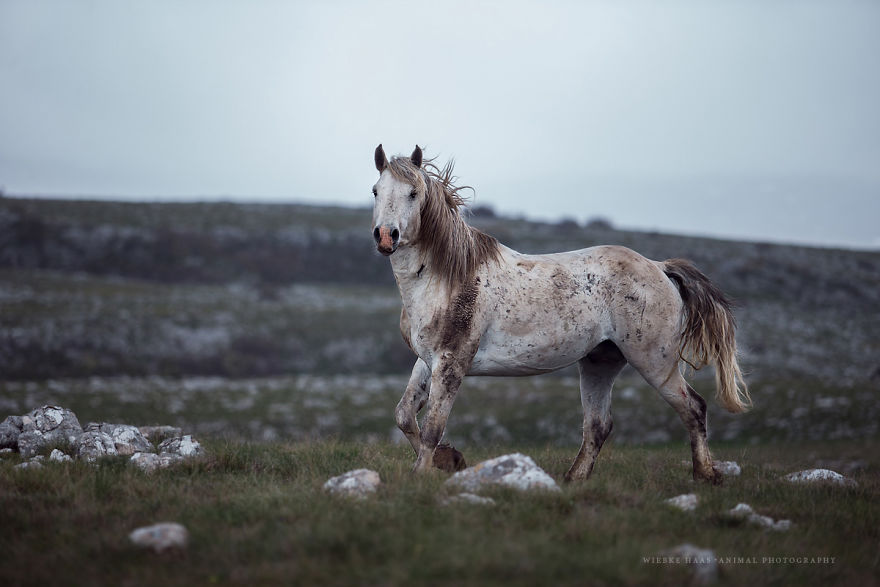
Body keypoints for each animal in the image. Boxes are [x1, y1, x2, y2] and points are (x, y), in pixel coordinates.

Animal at [371, 144, 750, 484]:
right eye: (376, 190)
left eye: (413, 193)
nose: (386, 236)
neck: (444, 278)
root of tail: (660, 267)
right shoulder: (428, 360)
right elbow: (404, 415)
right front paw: (450, 460)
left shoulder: (452, 363)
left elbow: (432, 427)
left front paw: (422, 475)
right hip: (601, 361)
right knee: (598, 425)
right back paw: (573, 479)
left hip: (655, 361)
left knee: (693, 408)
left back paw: (706, 475)